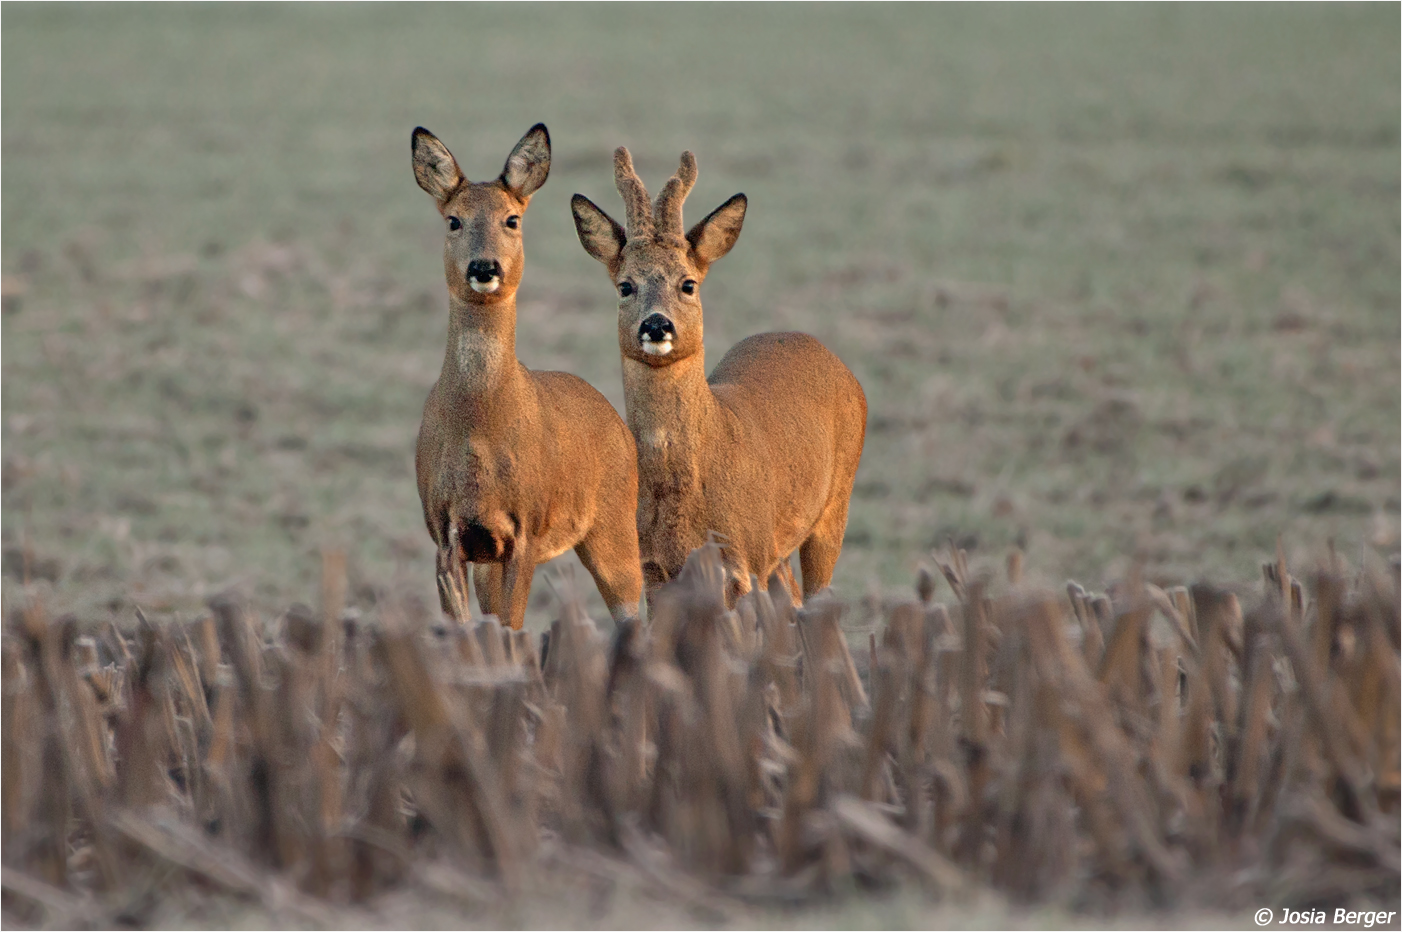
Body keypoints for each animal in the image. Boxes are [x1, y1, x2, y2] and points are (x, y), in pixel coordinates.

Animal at [409, 123, 642, 627]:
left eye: (512, 219)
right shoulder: (445, 534)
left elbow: (513, 629)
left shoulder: (527, 530)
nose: (484, 267)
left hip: (614, 528)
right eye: (453, 220)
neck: (480, 427)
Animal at [569, 147, 863, 602]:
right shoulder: (654, 569)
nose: (657, 325)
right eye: (625, 286)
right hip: (778, 551)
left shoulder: (745, 561)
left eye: (688, 283)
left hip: (833, 508)